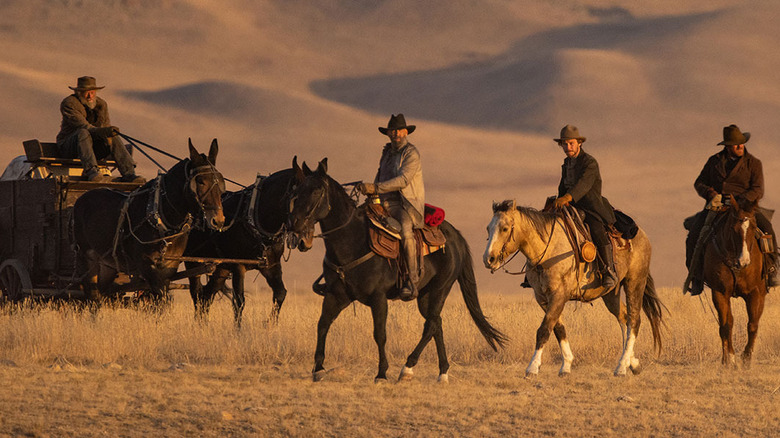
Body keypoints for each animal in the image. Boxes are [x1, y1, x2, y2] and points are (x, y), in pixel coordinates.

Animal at [72, 139, 225, 304]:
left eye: (221, 181)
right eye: (201, 181)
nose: (218, 220)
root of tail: (80, 200)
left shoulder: (169, 267)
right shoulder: (146, 265)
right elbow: (160, 297)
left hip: (108, 265)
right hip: (87, 258)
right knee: (92, 296)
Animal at [184, 157, 304, 326]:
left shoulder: (270, 265)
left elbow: (281, 293)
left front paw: (270, 325)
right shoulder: (238, 266)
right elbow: (239, 301)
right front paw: (238, 330)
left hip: (221, 268)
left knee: (206, 295)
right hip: (192, 262)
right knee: (197, 295)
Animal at [286, 160, 506, 384]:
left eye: (317, 190)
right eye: (296, 190)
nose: (294, 224)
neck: (352, 241)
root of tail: (455, 236)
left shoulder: (378, 298)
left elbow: (379, 334)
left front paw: (381, 373)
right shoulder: (336, 295)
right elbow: (322, 324)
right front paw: (318, 369)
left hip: (440, 289)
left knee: (431, 324)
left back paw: (407, 368)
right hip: (425, 295)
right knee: (436, 322)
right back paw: (442, 372)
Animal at [696, 195, 764, 366]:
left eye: (754, 227)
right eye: (733, 229)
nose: (744, 262)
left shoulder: (754, 293)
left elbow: (752, 324)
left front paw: (746, 358)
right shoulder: (720, 292)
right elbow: (726, 325)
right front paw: (730, 359)